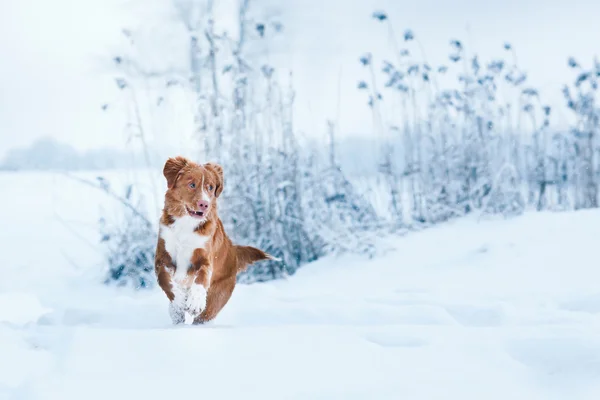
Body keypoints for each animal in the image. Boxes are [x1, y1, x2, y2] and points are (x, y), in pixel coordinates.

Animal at [156, 156, 276, 324]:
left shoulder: (205, 257)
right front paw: (178, 301)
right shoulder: (162, 257)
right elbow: (165, 281)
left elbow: (202, 276)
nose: (204, 204)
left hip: (216, 299)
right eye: (192, 184)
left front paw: (195, 301)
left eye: (210, 187)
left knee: (203, 317)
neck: (186, 224)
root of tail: (234, 252)